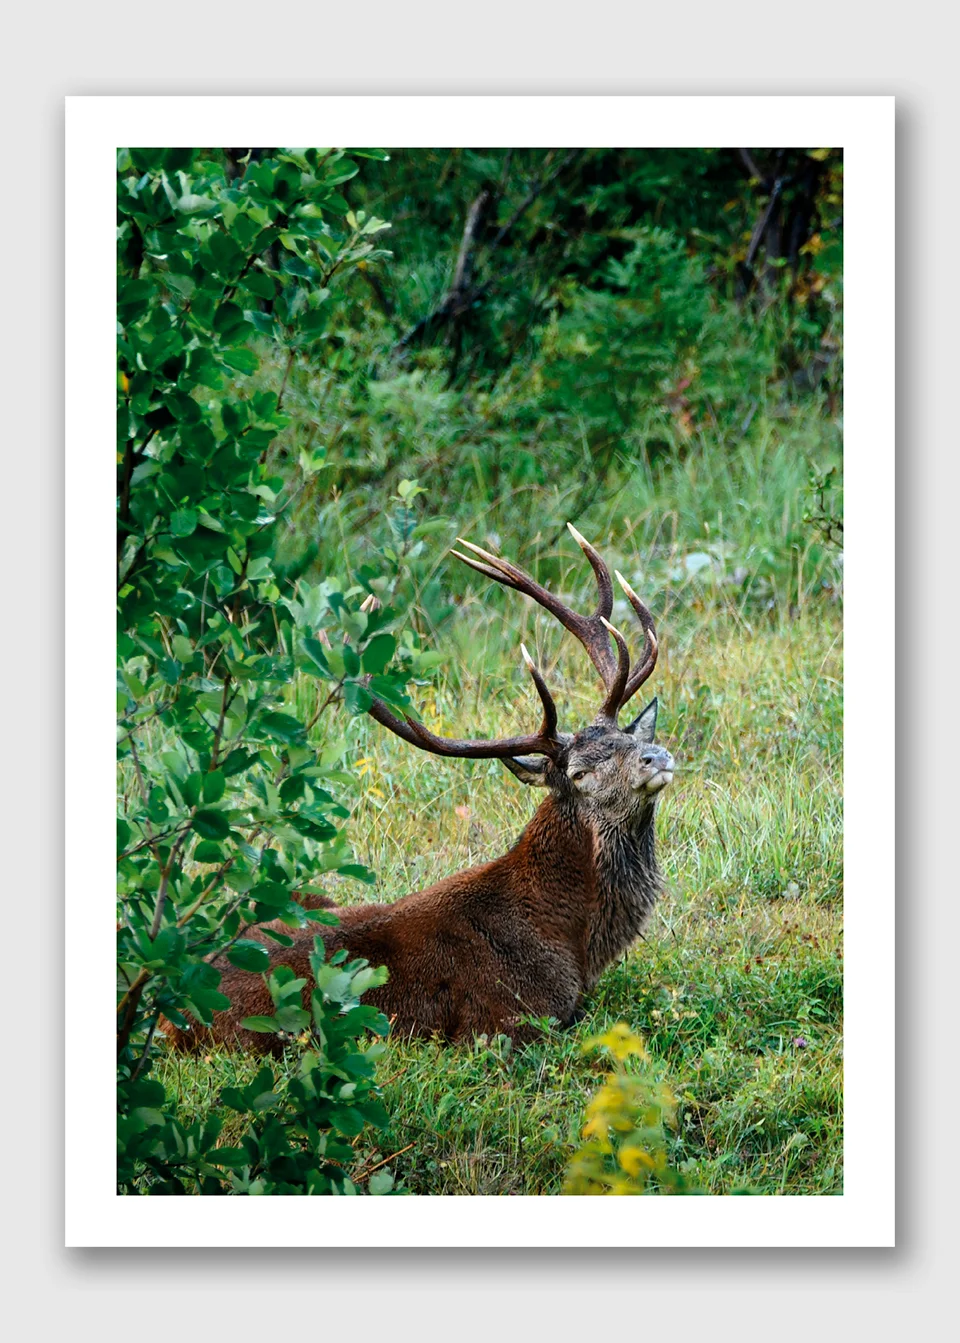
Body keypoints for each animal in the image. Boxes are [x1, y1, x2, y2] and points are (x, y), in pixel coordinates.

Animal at [166, 525, 674, 1054]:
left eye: (630, 739)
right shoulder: (504, 1025)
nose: (656, 757)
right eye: (577, 773)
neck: (571, 939)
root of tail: (166, 1015)